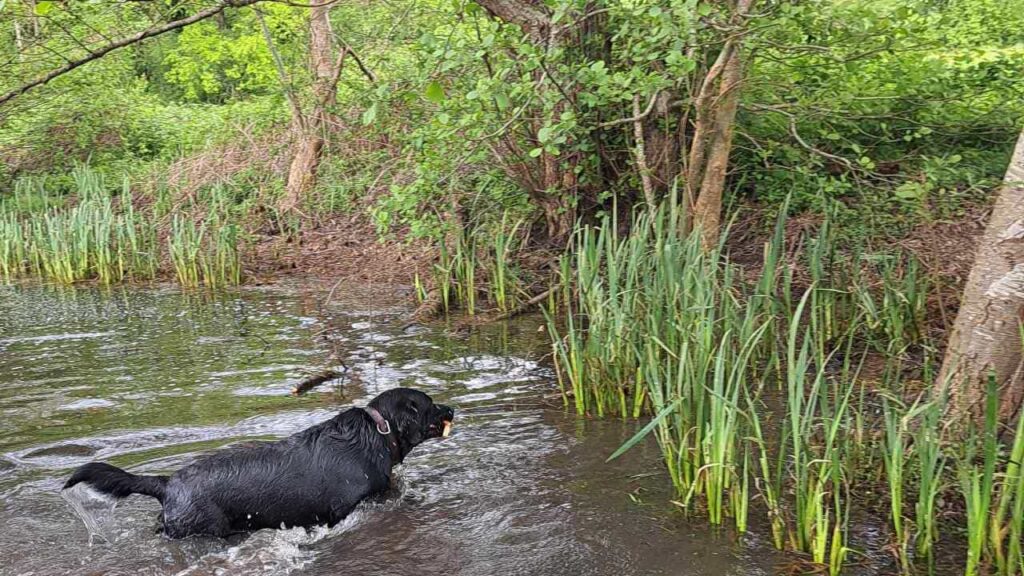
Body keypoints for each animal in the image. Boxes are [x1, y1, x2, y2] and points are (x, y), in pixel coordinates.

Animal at [59, 385, 452, 537]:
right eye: (430, 404)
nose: (451, 408)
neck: (375, 434)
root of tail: (167, 482)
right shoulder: (343, 510)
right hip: (207, 528)